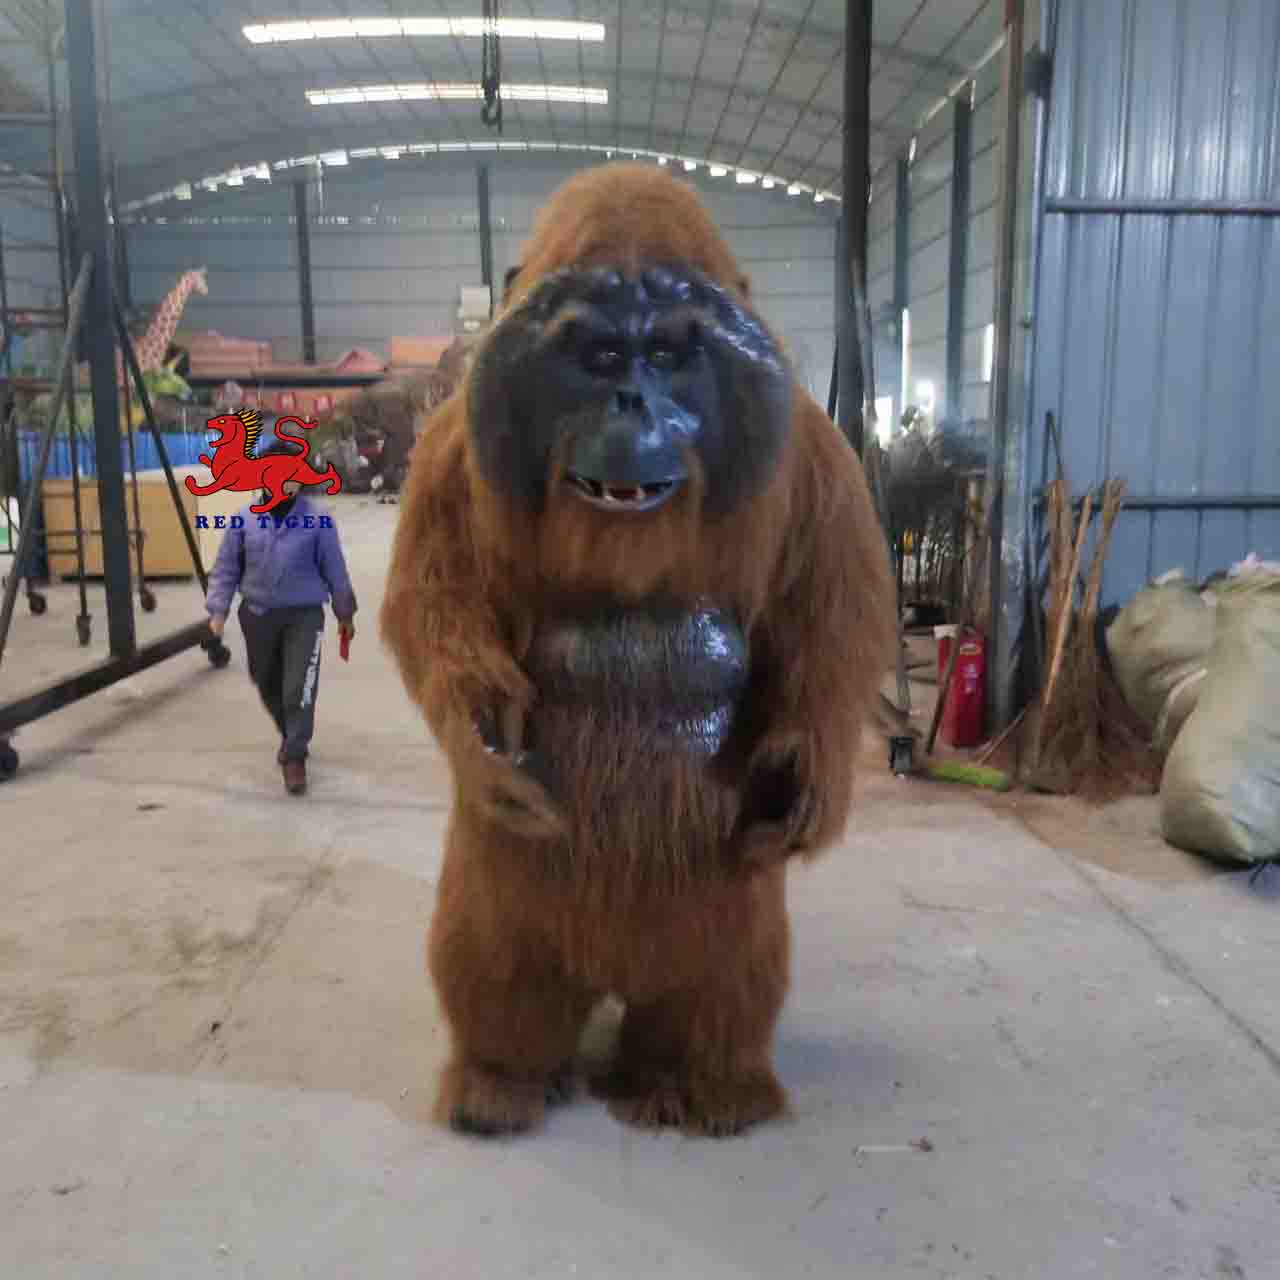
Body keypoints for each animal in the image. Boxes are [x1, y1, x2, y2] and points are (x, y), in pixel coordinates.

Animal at [380, 163, 897, 1139]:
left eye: (668, 356)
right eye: (598, 358)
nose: (632, 402)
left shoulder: (820, 458)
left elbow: (832, 618)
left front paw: (807, 773)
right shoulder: (446, 457)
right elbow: (437, 612)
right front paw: (485, 743)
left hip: (715, 926)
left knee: (724, 980)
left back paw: (699, 1088)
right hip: (511, 909)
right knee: (495, 965)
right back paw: (501, 1084)